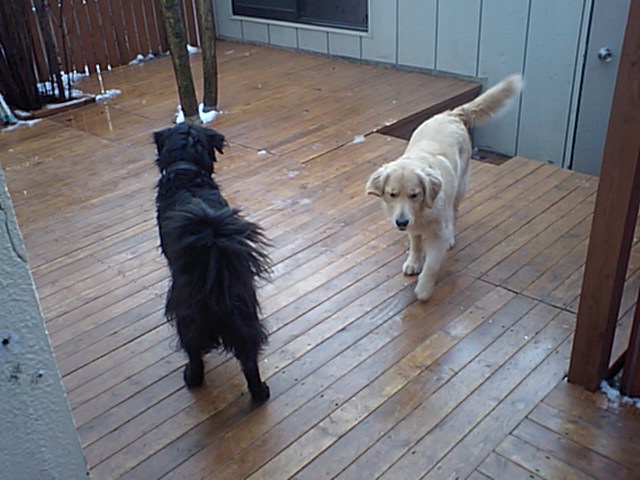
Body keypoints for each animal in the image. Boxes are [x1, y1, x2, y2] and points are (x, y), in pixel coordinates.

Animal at [153, 124, 271, 403]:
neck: (187, 174)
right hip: (245, 313)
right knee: (249, 358)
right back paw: (260, 394)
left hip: (185, 317)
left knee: (194, 353)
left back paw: (192, 378)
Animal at [366, 74, 523, 301]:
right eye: (392, 194)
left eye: (415, 195)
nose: (401, 222)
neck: (421, 213)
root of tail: (451, 114)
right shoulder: (412, 225)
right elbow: (415, 242)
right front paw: (414, 262)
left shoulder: (437, 233)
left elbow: (431, 265)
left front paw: (423, 289)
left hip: (460, 186)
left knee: (454, 212)